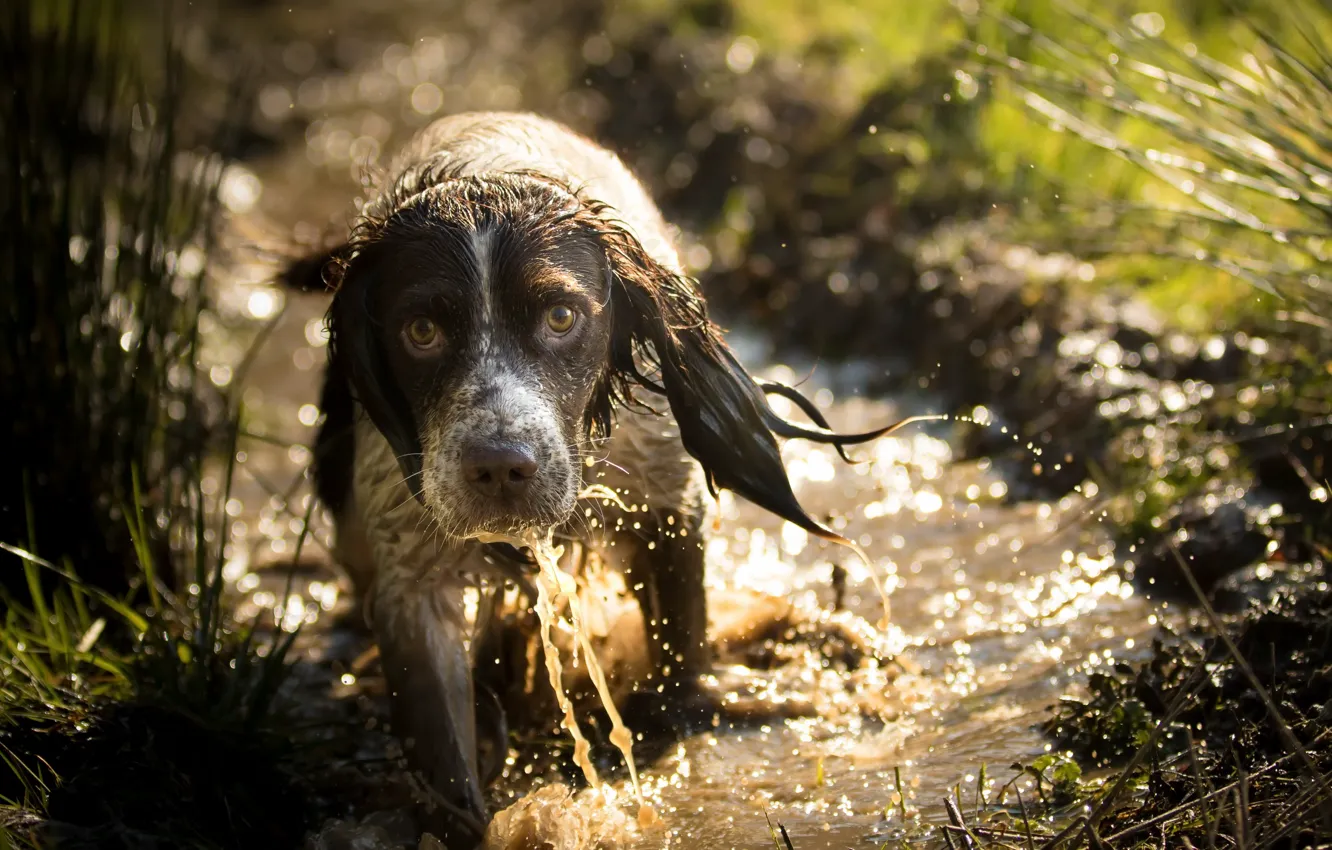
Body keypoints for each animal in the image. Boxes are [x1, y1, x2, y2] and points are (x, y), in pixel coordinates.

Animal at [277, 113, 895, 847]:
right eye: (421, 330)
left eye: (562, 317)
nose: (499, 465)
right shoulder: (412, 579)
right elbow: (446, 757)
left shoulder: (665, 507)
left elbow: (680, 665)